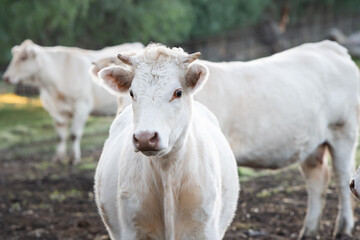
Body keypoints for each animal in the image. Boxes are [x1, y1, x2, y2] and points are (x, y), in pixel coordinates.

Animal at [2, 39, 144, 165]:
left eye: (23, 57)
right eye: (16, 57)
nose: (6, 77)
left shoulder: (81, 107)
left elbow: (74, 134)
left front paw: (73, 159)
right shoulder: (56, 111)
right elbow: (60, 136)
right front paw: (58, 158)